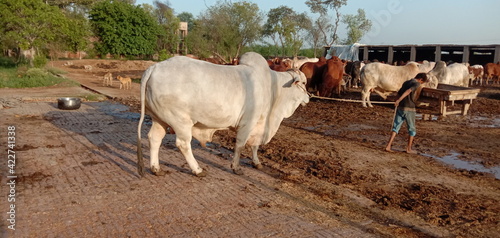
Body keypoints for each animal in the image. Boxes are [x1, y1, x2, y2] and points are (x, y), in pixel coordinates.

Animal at [136, 51, 308, 177]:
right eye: (304, 83)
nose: (308, 97)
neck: (273, 88)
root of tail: (154, 68)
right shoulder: (248, 122)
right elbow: (240, 145)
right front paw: (236, 167)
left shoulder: (260, 125)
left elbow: (255, 145)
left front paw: (256, 162)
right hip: (180, 121)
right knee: (183, 144)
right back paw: (197, 170)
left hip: (159, 119)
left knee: (154, 138)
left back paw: (156, 168)